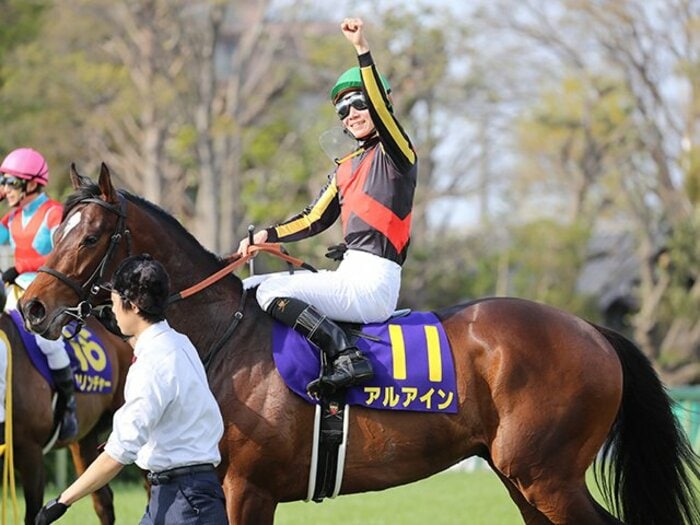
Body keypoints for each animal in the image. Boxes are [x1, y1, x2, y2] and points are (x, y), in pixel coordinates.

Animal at [17, 164, 700, 524]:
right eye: (58, 231)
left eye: (88, 236)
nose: (32, 307)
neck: (223, 341)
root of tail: (593, 331)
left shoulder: (247, 490)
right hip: (523, 479)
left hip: (547, 477)